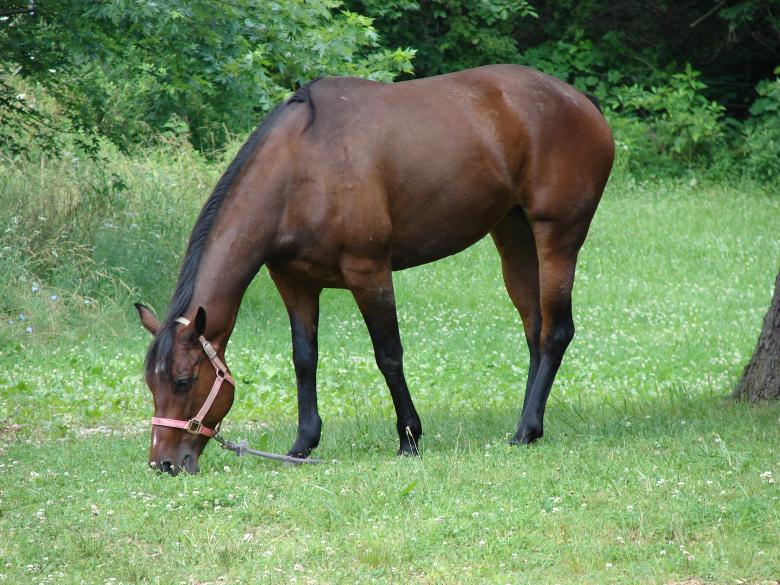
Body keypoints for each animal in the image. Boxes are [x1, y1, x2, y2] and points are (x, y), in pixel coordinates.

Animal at [135, 64, 614, 475]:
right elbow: (304, 359)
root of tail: (580, 102)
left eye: (183, 381)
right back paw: (528, 425)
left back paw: (526, 429)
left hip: (558, 237)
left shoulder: (369, 273)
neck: (301, 169)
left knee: (555, 331)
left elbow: (388, 355)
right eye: (150, 385)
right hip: (513, 236)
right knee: (535, 328)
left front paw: (409, 438)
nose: (164, 463)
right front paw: (303, 443)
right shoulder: (293, 282)